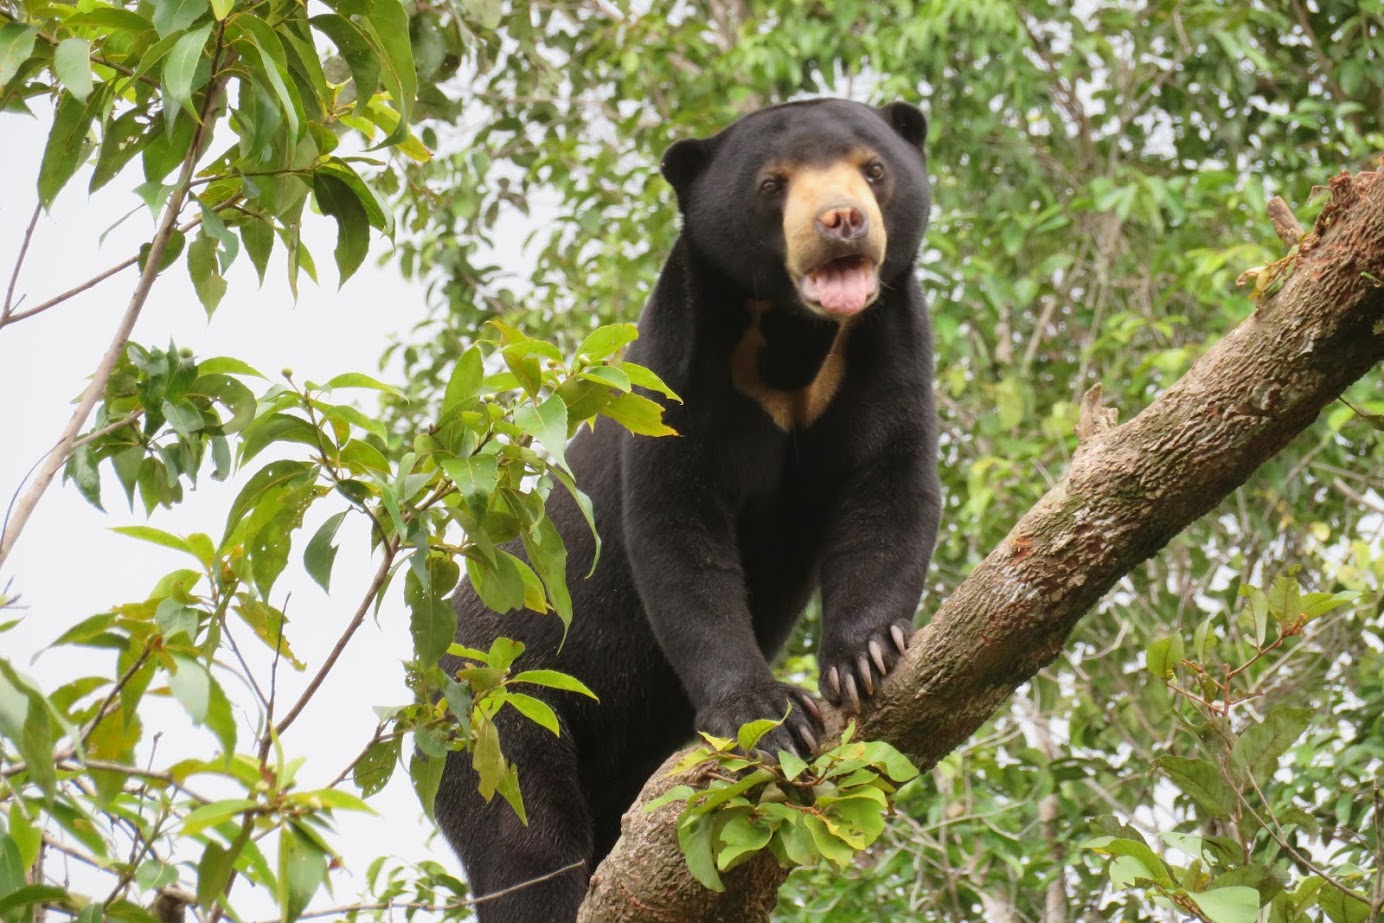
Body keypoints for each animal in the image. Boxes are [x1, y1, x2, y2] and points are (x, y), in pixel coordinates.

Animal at [434, 97, 940, 922]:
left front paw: (865, 656)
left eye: (873, 169)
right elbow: (678, 537)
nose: (841, 221)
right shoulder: (677, 368)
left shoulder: (890, 344)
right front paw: (770, 716)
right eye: (772, 184)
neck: (793, 338)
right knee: (525, 838)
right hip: (496, 704)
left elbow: (889, 488)